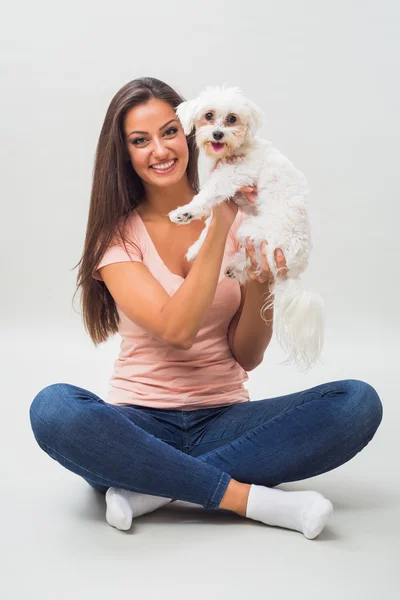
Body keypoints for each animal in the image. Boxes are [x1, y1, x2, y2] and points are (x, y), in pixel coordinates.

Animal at [169, 84, 324, 372]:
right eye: (208, 115)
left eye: (232, 119)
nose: (218, 134)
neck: (233, 152)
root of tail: (295, 268)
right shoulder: (231, 200)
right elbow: (209, 226)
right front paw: (196, 249)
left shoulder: (233, 177)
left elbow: (206, 198)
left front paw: (185, 212)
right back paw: (232, 267)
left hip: (256, 231)